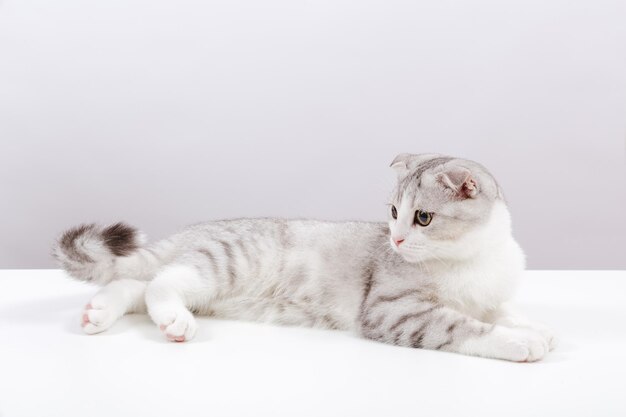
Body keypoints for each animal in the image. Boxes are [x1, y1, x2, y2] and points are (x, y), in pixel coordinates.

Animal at [51, 153, 552, 360]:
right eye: (394, 213)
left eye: (423, 218)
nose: (395, 241)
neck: (475, 258)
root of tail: (193, 230)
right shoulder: (395, 310)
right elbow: (463, 326)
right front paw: (519, 342)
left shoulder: (490, 296)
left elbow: (503, 310)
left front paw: (534, 328)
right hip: (222, 265)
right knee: (159, 282)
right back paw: (175, 322)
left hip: (206, 281)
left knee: (134, 283)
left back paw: (99, 312)